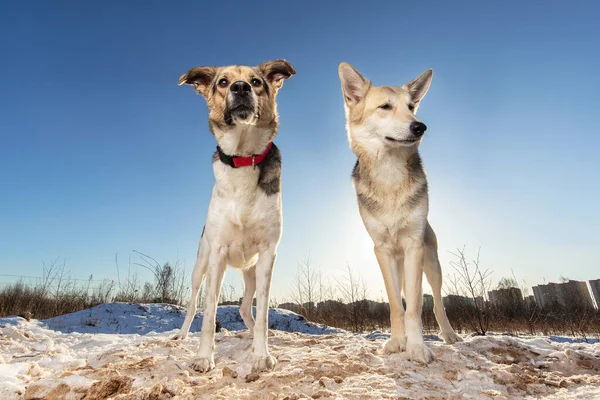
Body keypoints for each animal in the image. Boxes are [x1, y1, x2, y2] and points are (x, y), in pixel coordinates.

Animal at [173, 60, 296, 376]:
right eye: (223, 82)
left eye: (256, 82)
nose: (241, 88)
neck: (242, 157)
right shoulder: (217, 254)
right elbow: (209, 313)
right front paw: (204, 358)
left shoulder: (268, 255)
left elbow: (262, 313)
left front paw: (262, 355)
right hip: (200, 267)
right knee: (193, 304)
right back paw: (181, 334)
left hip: (250, 272)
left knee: (244, 307)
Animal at [340, 61, 462, 362]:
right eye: (385, 106)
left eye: (411, 106)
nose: (420, 126)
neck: (390, 176)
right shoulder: (382, 250)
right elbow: (397, 305)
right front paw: (398, 342)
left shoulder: (414, 247)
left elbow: (416, 307)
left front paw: (417, 347)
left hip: (431, 264)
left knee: (437, 303)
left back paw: (449, 334)